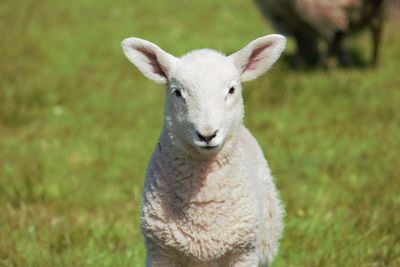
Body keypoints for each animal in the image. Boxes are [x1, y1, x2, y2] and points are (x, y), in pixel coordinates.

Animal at [253, 0, 390, 67]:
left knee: (336, 33)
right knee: (376, 30)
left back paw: (322, 65)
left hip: (326, 10)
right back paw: (373, 63)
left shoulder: (284, 16)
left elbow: (300, 39)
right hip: (375, 11)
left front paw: (299, 62)